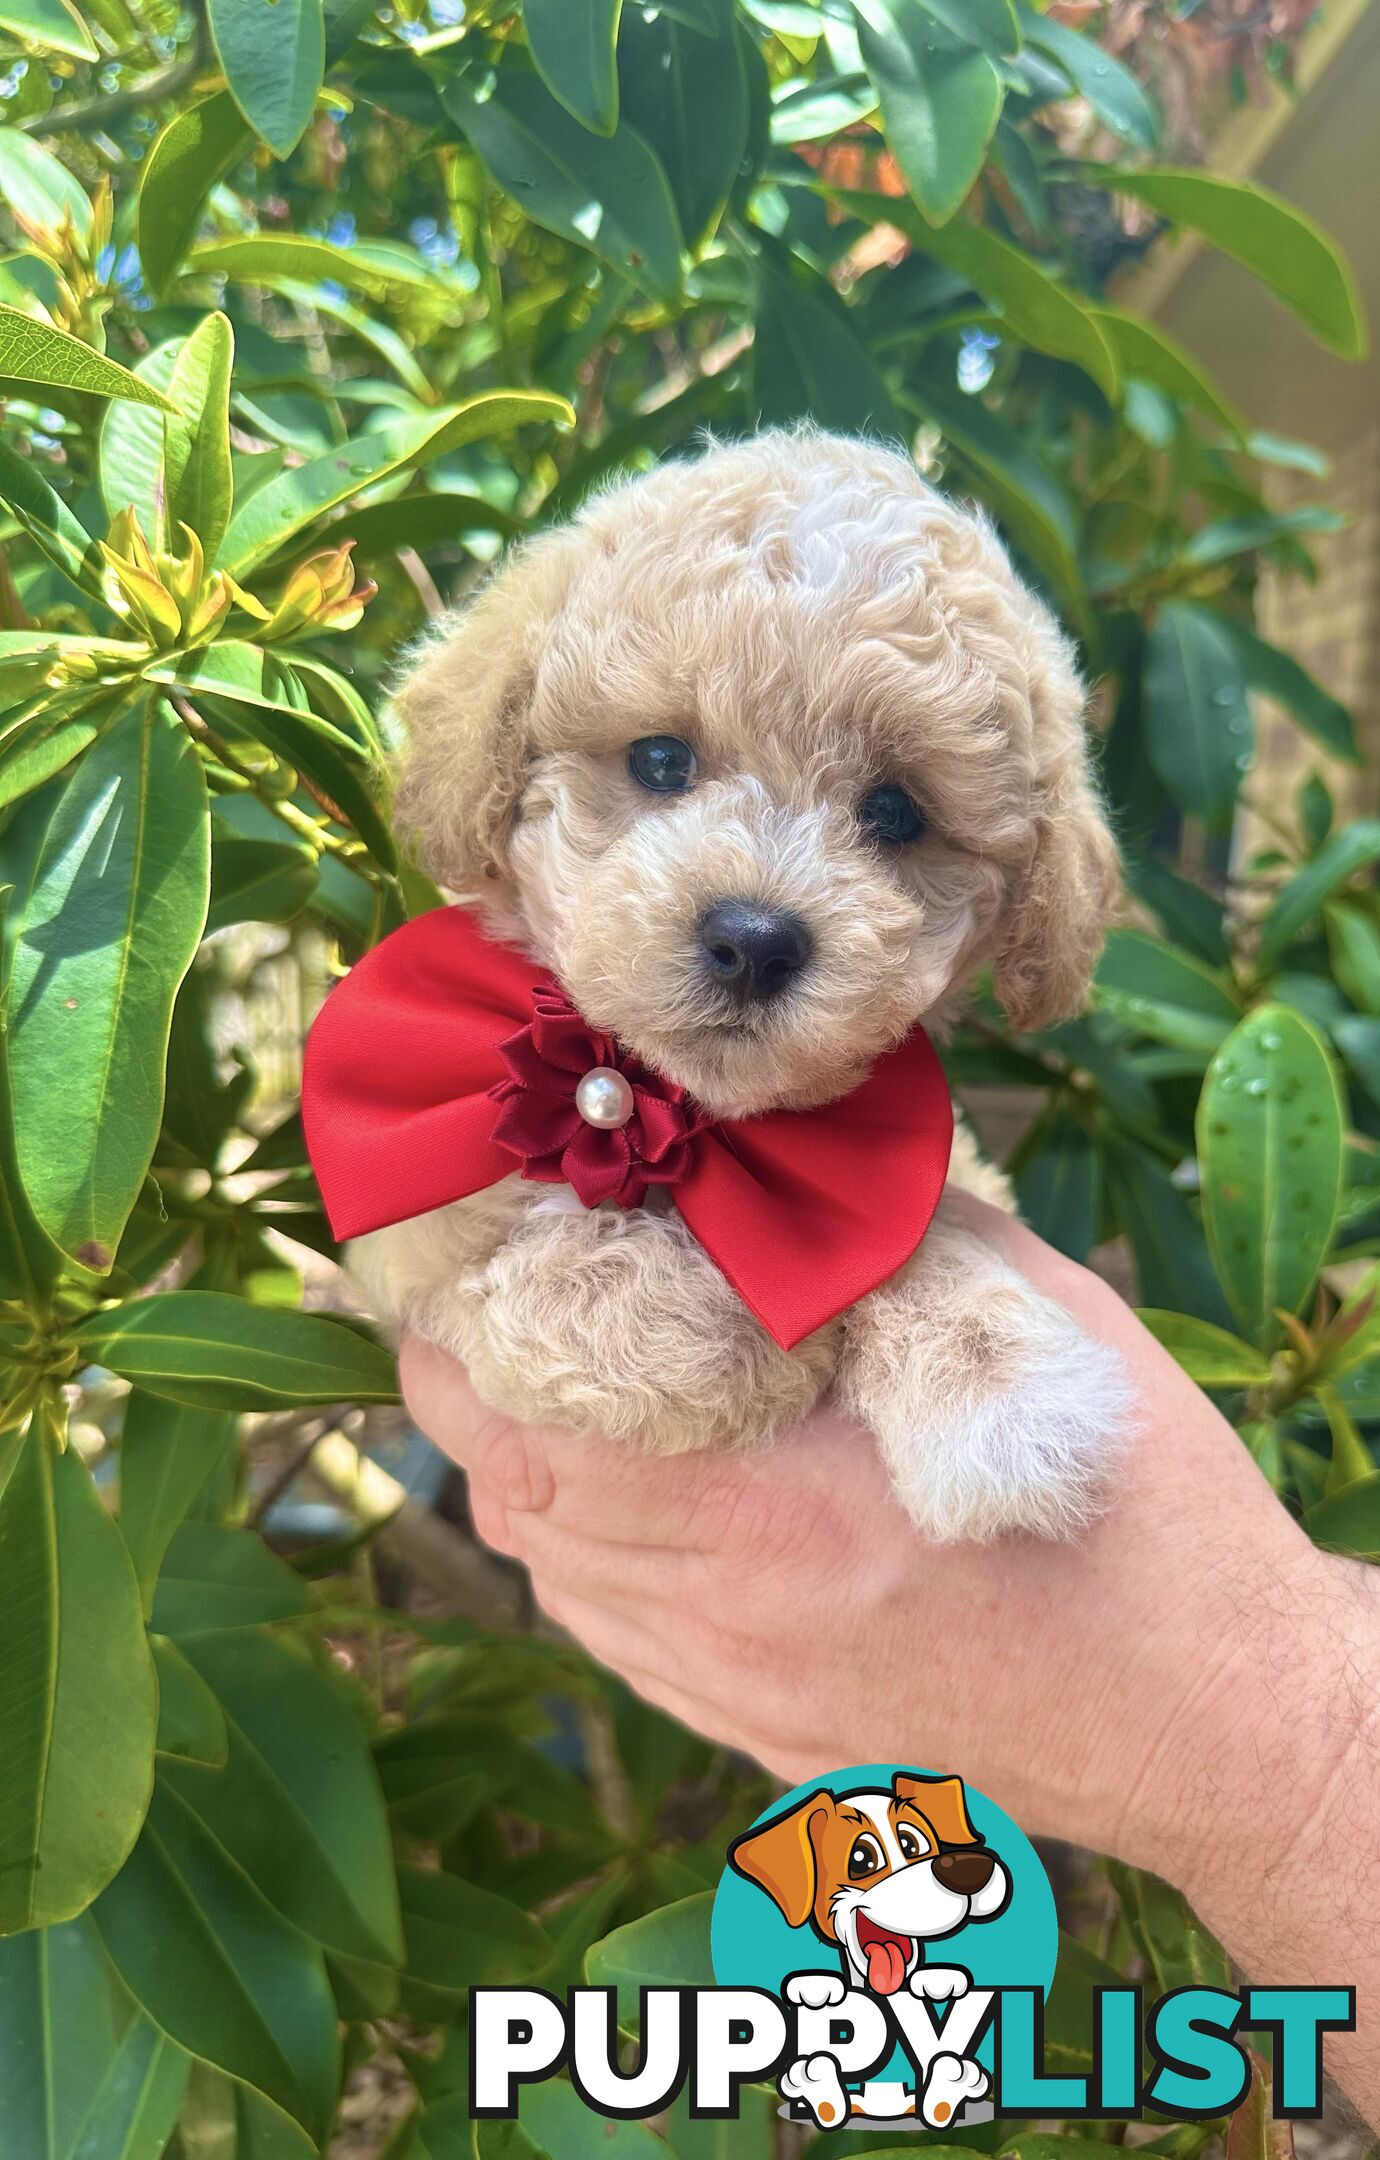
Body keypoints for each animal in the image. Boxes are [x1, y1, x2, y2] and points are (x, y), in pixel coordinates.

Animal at [354, 425, 1131, 1537]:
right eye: (660, 760)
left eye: (895, 813)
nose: (754, 941)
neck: (683, 1119)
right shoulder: (409, 1233)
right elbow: (546, 1264)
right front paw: (722, 1332)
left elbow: (911, 1239)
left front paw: (1006, 1390)